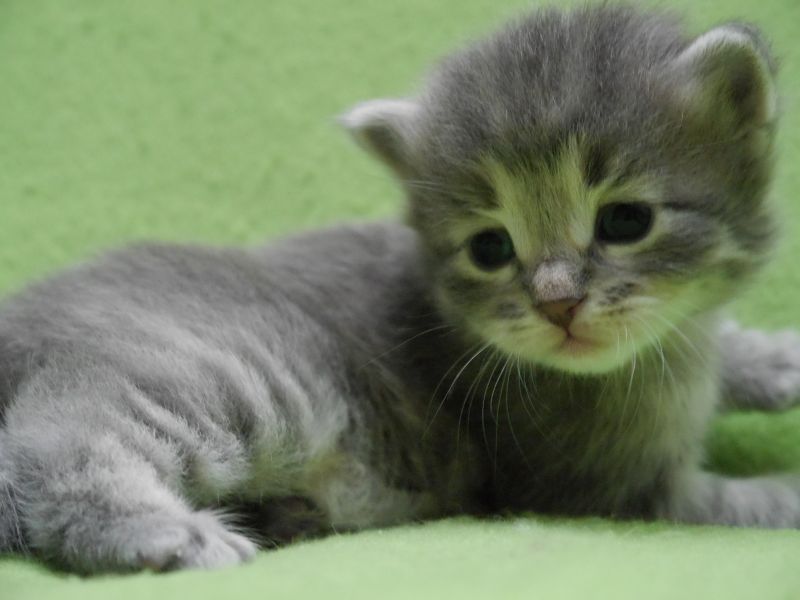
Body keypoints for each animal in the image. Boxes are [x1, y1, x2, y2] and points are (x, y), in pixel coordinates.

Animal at [2, 4, 800, 574]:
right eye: (490, 247)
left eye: (625, 221)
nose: (557, 303)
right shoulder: (607, 489)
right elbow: (733, 505)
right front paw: (787, 492)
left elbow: (723, 346)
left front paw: (773, 361)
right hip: (242, 373)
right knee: (51, 444)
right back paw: (167, 533)